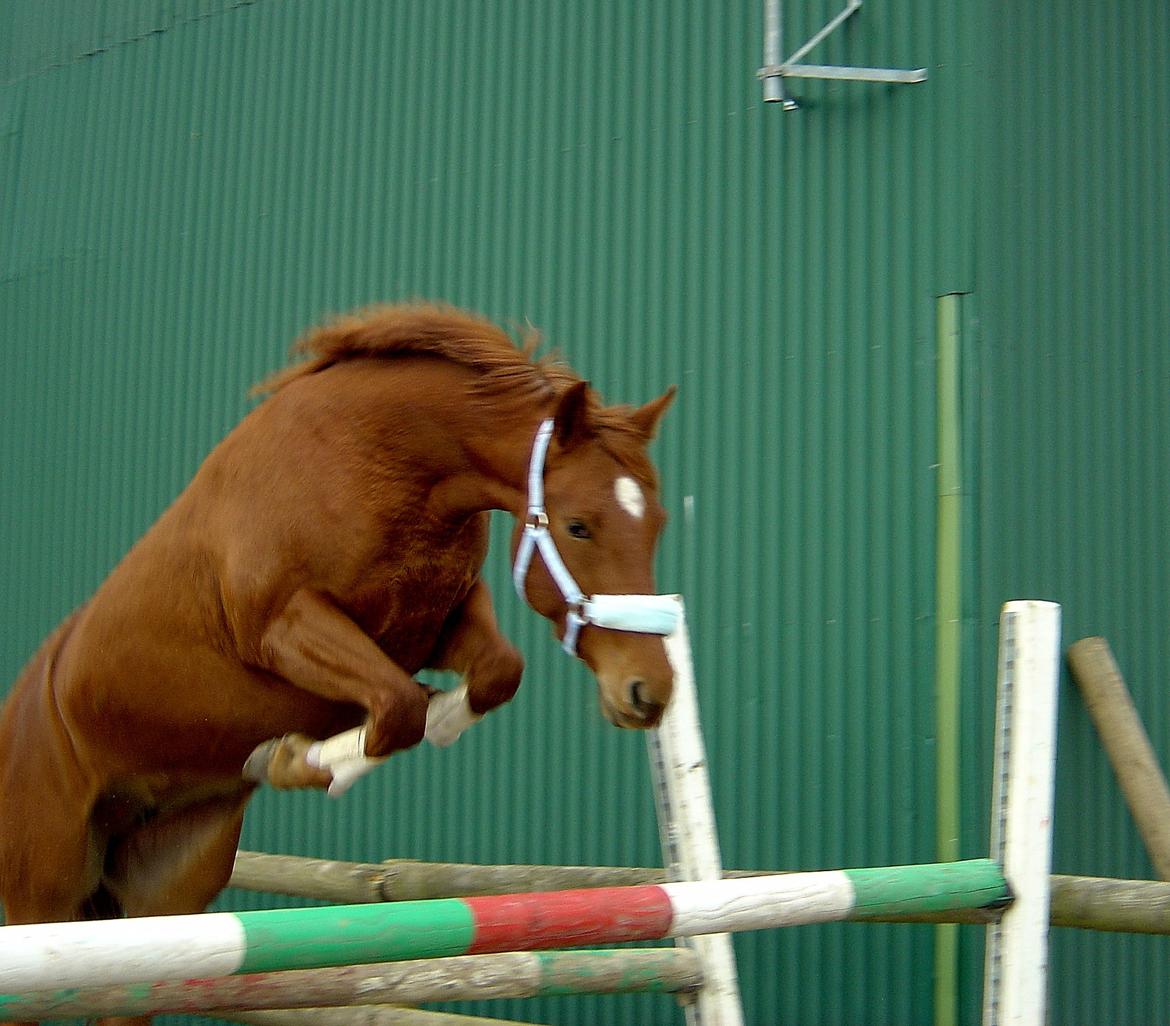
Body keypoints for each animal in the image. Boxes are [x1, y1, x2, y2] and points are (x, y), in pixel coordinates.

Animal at [0, 299, 678, 1020]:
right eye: (579, 526)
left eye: (657, 522)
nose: (648, 693)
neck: (382, 458)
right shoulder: (287, 625)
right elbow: (399, 706)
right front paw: (298, 758)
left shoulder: (438, 621)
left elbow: (492, 674)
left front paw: (423, 720)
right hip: (46, 893)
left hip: (163, 893)